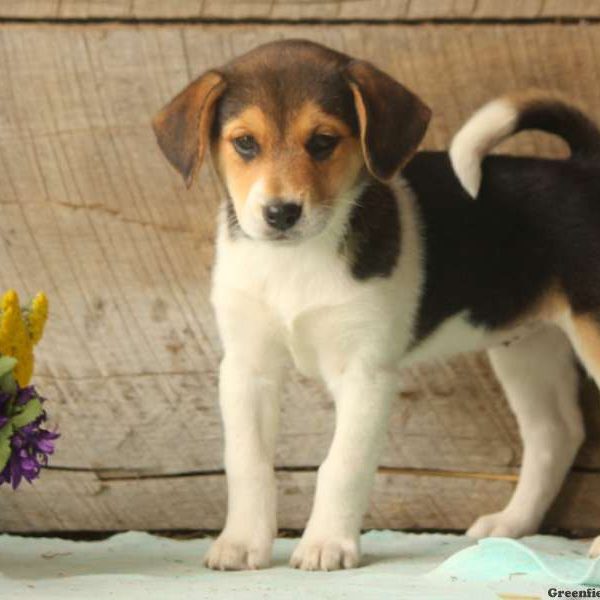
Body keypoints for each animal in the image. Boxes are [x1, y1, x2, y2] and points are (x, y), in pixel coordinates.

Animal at [152, 39, 600, 576]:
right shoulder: (247, 368)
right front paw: (241, 543)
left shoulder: (365, 372)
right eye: (244, 144)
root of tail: (583, 168)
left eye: (323, 141)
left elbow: (342, 465)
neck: (296, 260)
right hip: (527, 346)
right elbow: (248, 462)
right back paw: (510, 524)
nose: (281, 213)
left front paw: (326, 543)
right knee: (555, 434)